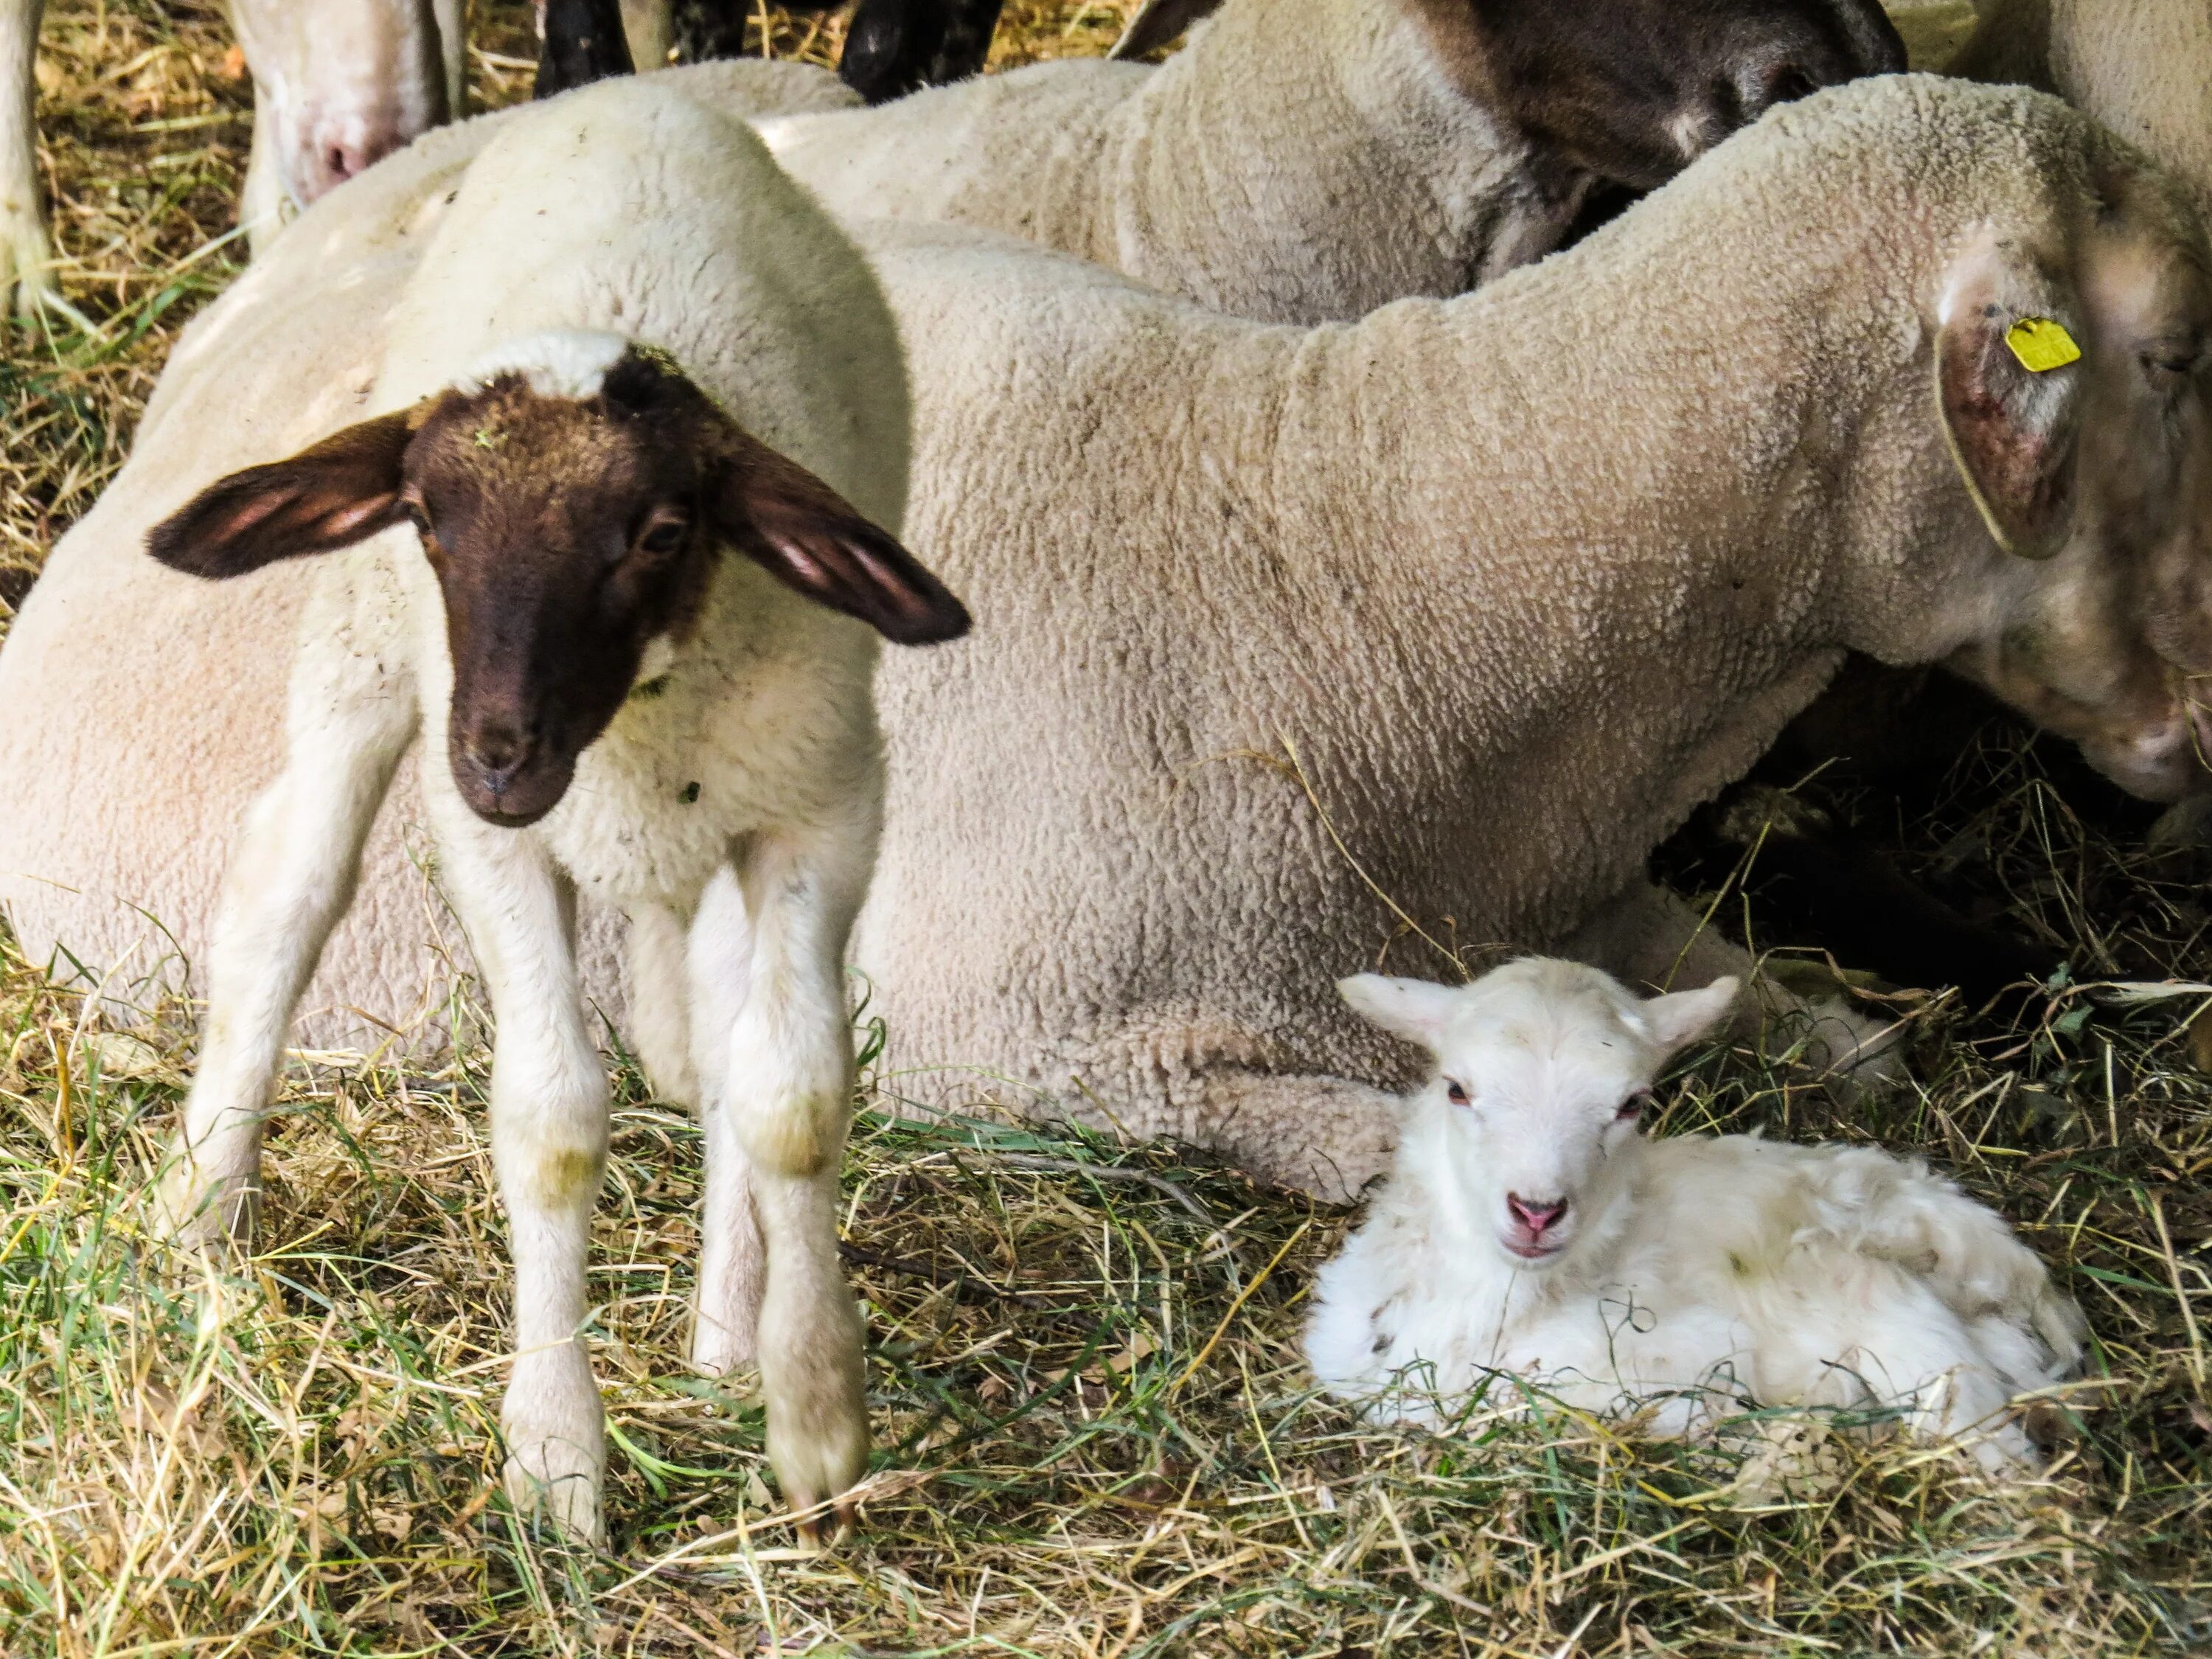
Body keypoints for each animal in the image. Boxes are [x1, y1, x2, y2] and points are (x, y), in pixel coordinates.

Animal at [140, 84, 969, 1557]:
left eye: (660, 532)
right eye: (427, 517)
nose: (496, 755)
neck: (621, 736)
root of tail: (641, 95)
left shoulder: (822, 815)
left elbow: (793, 1099)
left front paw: (813, 1414)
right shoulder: (495, 849)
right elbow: (552, 1122)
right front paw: (556, 1461)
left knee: (713, 1033)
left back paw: (726, 1329)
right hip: (361, 659)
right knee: (286, 898)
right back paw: (202, 1210)